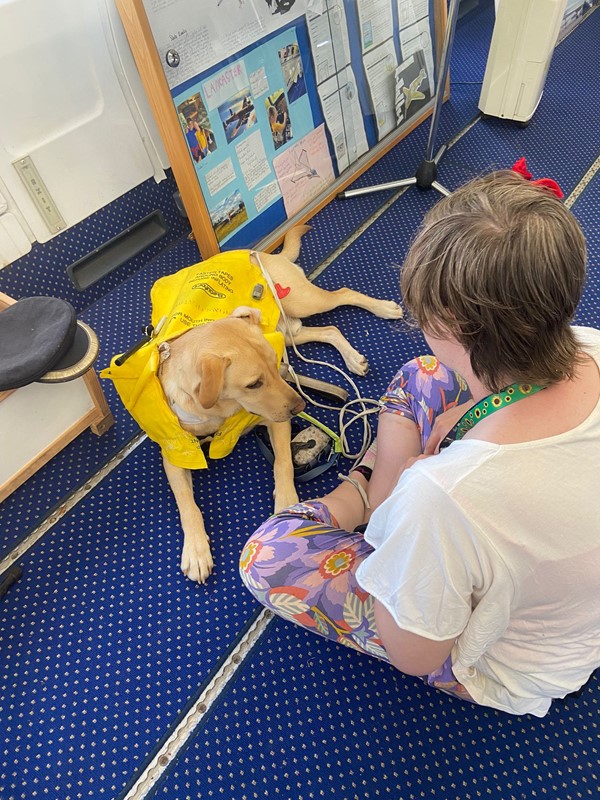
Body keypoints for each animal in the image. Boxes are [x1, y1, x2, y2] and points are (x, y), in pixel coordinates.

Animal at [103, 223, 404, 580]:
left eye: (274, 364)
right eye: (253, 383)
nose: (300, 408)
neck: (215, 412)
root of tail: (259, 253)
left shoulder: (276, 419)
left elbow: (282, 463)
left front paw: (286, 501)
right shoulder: (175, 451)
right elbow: (186, 503)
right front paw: (196, 550)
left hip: (300, 303)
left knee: (344, 295)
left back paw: (383, 309)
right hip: (289, 330)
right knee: (329, 329)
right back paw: (353, 358)